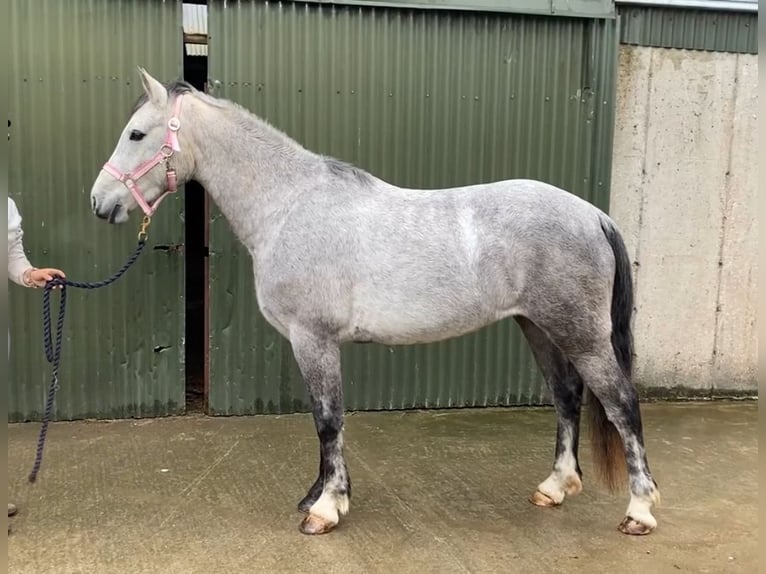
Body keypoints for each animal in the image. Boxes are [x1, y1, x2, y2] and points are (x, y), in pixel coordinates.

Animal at [89, 67, 660, 536]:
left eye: (136, 134)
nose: (99, 202)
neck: (289, 206)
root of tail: (593, 214)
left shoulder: (313, 339)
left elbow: (328, 420)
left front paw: (326, 510)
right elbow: (323, 422)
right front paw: (319, 496)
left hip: (580, 334)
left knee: (622, 405)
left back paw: (639, 511)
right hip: (538, 327)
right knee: (567, 397)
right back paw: (555, 487)